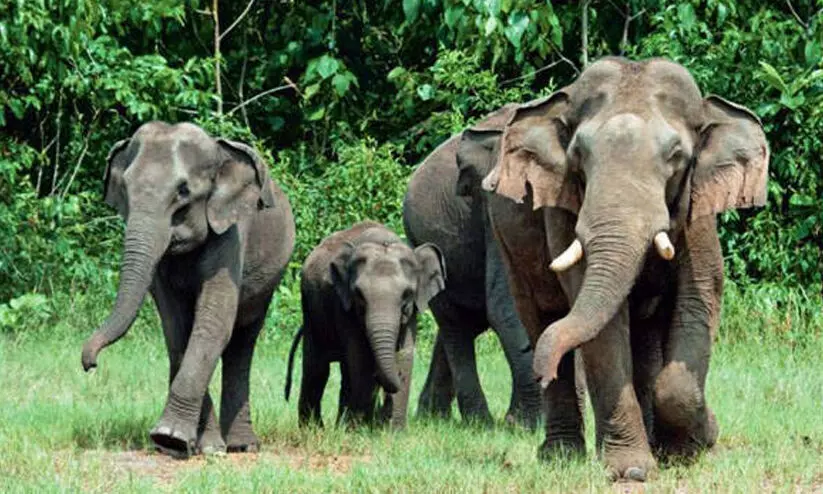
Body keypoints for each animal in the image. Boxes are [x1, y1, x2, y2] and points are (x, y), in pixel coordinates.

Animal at [80, 122, 295, 458]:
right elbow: (176, 328)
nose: (90, 364)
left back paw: (243, 446)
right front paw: (192, 445)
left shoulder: (233, 229)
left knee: (243, 339)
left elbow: (213, 323)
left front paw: (171, 438)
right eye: (125, 189)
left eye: (183, 191)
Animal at [284, 221, 446, 428]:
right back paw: (315, 429)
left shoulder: (412, 313)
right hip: (310, 311)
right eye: (359, 294)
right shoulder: (343, 304)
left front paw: (393, 430)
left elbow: (405, 355)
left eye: (407, 294)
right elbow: (360, 357)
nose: (383, 413)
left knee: (343, 373)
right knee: (317, 368)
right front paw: (360, 429)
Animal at [403, 107, 542, 427]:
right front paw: (527, 426)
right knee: (456, 325)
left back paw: (434, 417)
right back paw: (478, 422)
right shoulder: (498, 210)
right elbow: (508, 307)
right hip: (422, 239)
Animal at [458, 57, 769, 480]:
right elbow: (603, 331)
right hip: (507, 244)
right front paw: (633, 471)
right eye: (578, 156)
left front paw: (691, 447)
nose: (541, 371)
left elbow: (697, 302)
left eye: (676, 155)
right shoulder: (564, 206)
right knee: (541, 317)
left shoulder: (699, 211)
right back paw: (562, 456)